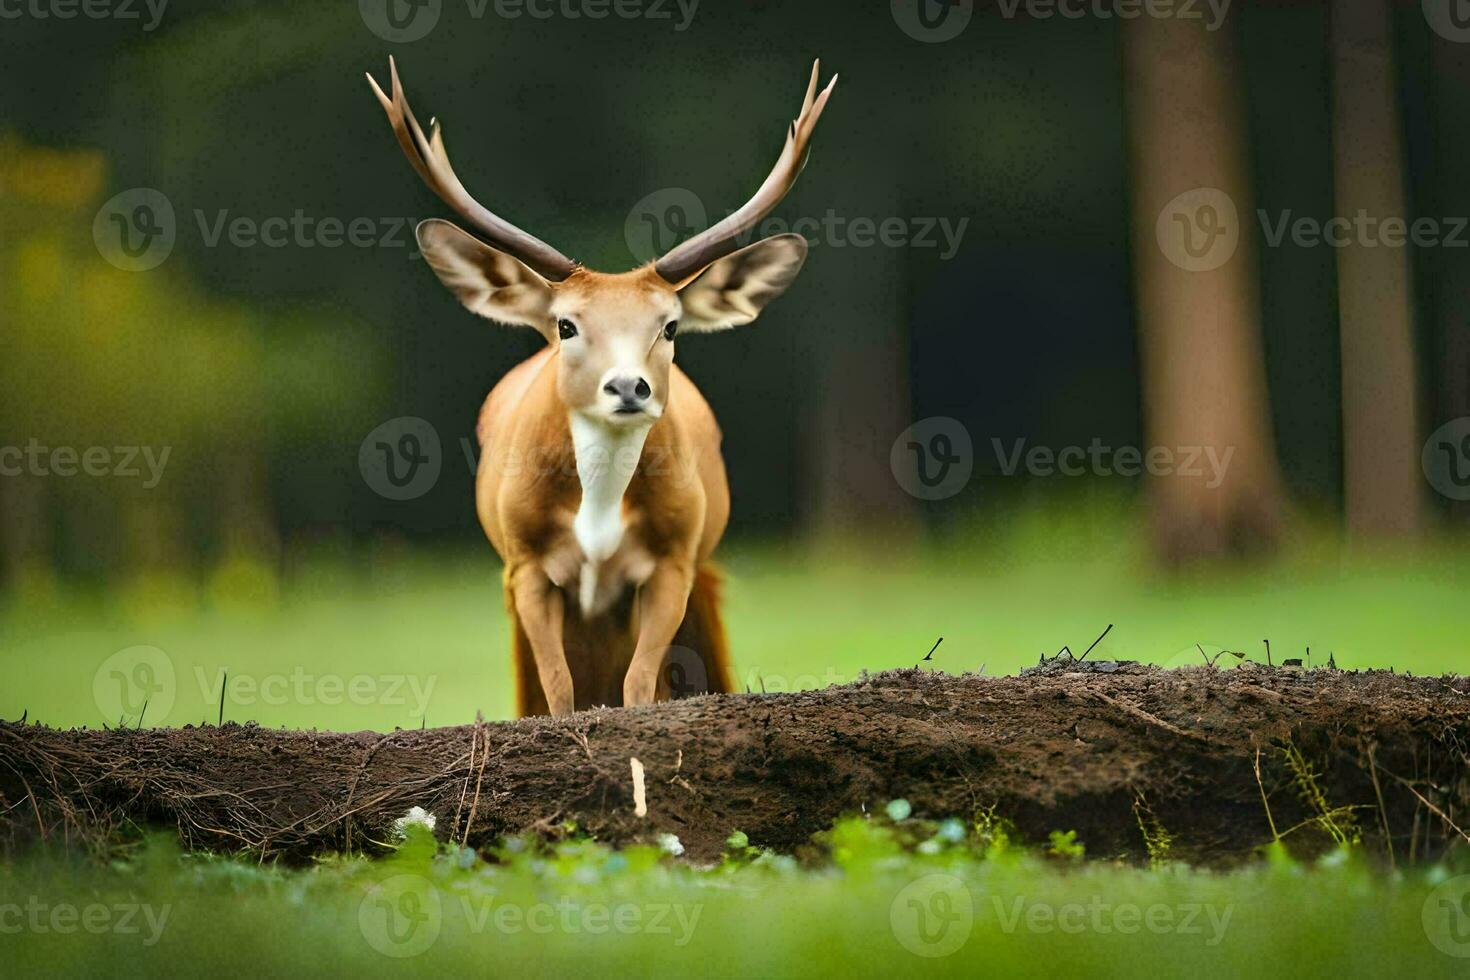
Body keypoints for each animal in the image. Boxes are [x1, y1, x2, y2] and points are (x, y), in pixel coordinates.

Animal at [367, 57, 840, 717]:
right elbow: (558, 690)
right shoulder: (525, 564)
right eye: (566, 324)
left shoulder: (674, 561)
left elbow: (641, 686)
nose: (628, 388)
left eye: (670, 325)